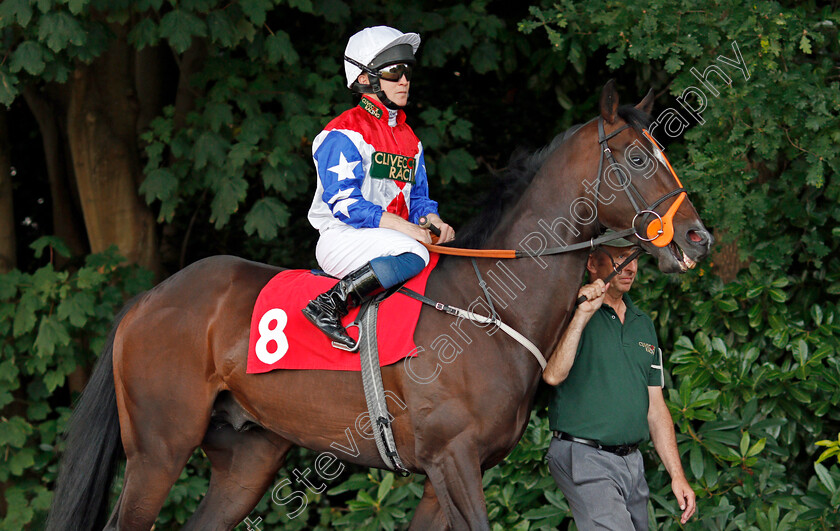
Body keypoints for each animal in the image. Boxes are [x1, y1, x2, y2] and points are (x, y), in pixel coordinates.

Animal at [46, 81, 712, 528]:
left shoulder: (445, 476)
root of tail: (149, 298)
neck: (490, 310)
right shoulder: (453, 462)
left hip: (246, 459)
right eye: (637, 158)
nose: (697, 238)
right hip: (158, 449)